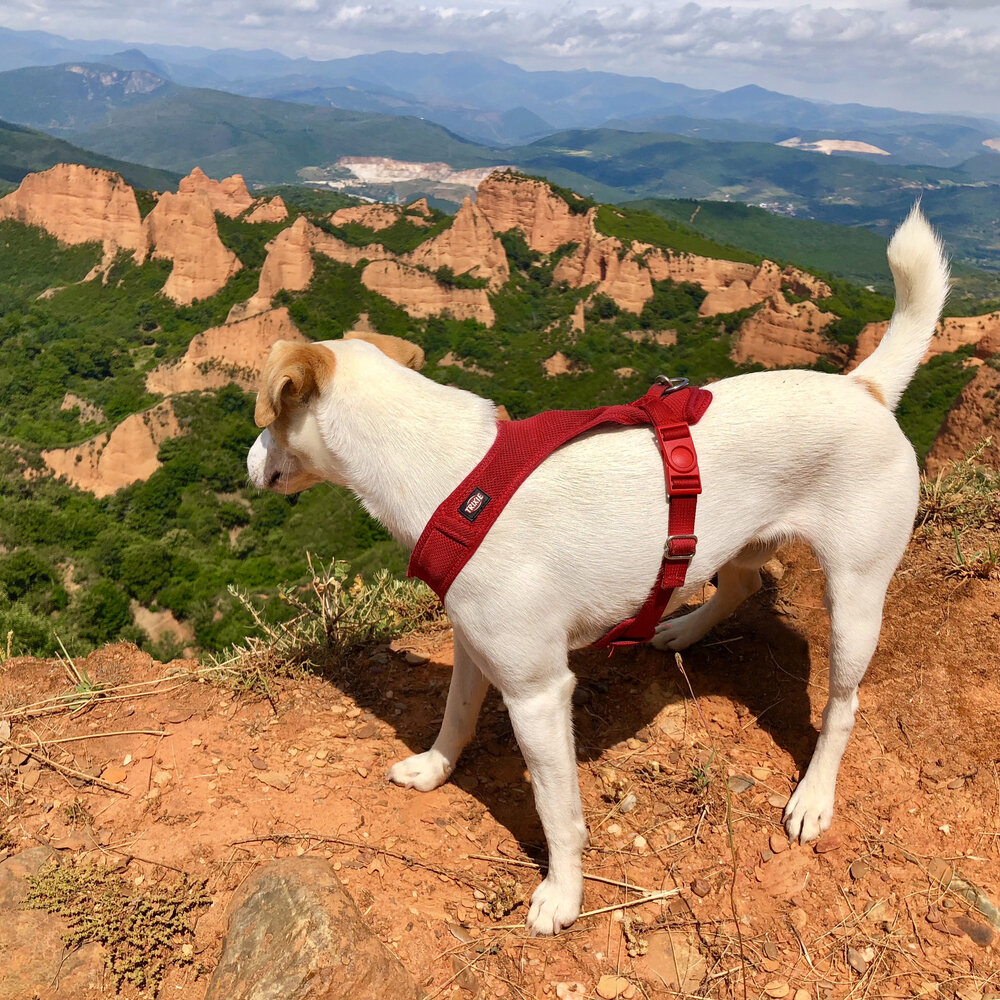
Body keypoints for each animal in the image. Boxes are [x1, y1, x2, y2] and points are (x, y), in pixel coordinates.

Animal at [246, 209, 948, 936]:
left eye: (266, 417)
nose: (247, 461)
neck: (458, 478)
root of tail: (864, 388)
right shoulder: (474, 647)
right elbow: (455, 715)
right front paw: (435, 769)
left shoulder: (537, 693)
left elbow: (558, 814)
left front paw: (562, 894)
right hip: (738, 540)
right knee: (743, 583)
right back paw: (681, 628)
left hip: (856, 596)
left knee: (842, 704)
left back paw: (813, 795)